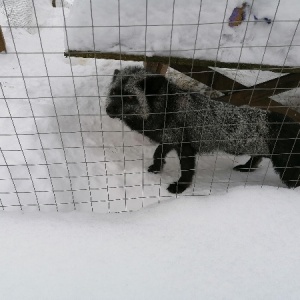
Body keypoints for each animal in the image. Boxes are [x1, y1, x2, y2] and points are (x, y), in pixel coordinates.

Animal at [105, 65, 300, 193]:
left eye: (130, 97)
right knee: (257, 157)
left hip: (287, 168)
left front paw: (180, 187)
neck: (169, 106)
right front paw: (156, 167)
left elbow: (186, 170)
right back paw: (247, 167)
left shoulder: (185, 147)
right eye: (113, 92)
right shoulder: (170, 138)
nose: (108, 110)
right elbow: (158, 153)